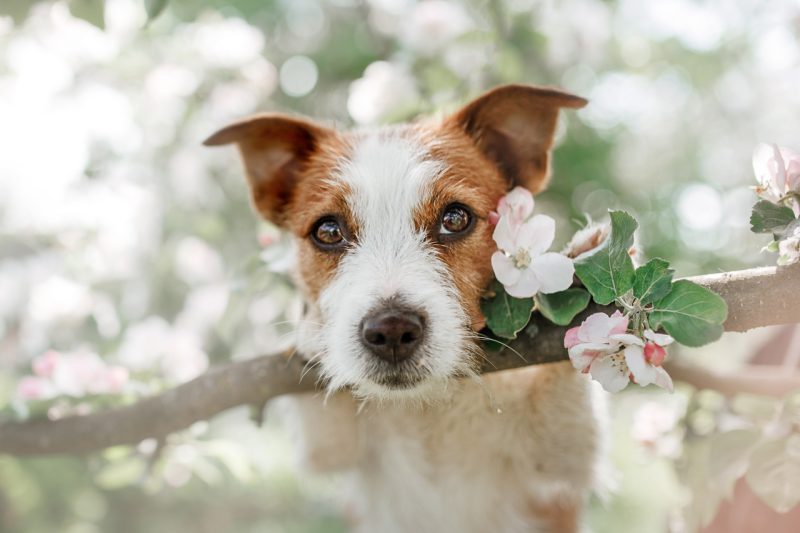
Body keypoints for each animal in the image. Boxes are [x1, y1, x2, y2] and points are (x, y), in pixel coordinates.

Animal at [205, 84, 608, 532]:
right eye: (328, 230)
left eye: (455, 218)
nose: (392, 330)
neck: (426, 410)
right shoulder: (333, 448)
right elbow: (326, 439)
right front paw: (311, 329)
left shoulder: (560, 461)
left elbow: (568, 411)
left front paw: (581, 281)